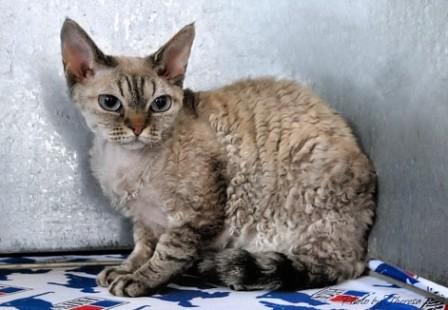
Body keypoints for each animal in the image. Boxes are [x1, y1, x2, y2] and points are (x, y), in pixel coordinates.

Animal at [59, 17, 374, 298]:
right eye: (110, 103)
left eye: (159, 104)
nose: (138, 128)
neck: (126, 163)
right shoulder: (144, 220)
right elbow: (142, 248)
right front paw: (126, 269)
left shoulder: (196, 216)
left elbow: (167, 254)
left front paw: (140, 279)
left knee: (326, 263)